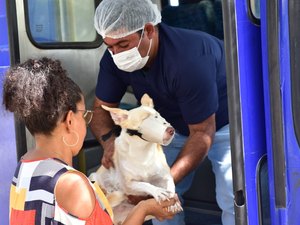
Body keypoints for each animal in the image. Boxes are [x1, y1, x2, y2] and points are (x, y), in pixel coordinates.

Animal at [89, 93, 182, 225]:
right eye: (144, 119)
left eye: (159, 116)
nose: (171, 130)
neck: (143, 154)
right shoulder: (129, 184)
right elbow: (144, 184)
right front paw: (157, 191)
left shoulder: (165, 176)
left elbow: (170, 185)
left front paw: (173, 201)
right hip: (94, 178)